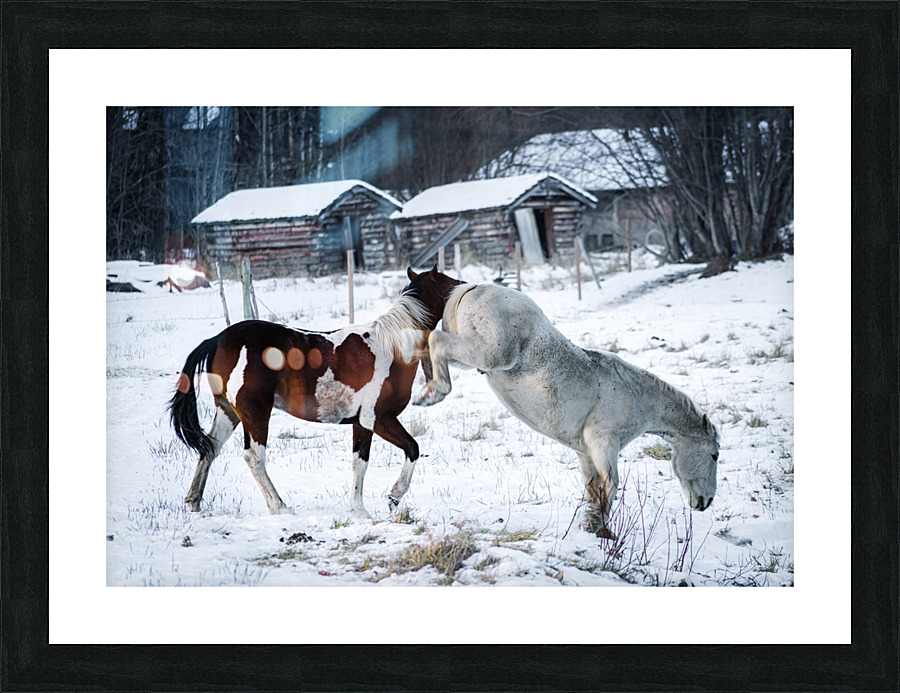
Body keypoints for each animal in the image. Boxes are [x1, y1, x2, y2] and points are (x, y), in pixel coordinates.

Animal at [169, 266, 462, 516]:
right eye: (449, 282)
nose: (465, 286)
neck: (391, 348)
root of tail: (217, 340)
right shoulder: (375, 420)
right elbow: (384, 457)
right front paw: (374, 505)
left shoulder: (364, 422)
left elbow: (385, 455)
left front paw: (385, 501)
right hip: (255, 413)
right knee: (254, 457)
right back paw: (279, 507)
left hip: (228, 412)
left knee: (209, 448)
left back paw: (194, 502)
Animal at [413, 283, 720, 539]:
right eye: (715, 455)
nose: (706, 502)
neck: (635, 395)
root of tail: (477, 287)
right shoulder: (603, 443)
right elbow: (611, 485)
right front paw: (596, 525)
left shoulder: (585, 452)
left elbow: (594, 489)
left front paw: (599, 529)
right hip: (490, 354)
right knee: (437, 340)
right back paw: (433, 393)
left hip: (471, 358)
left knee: (430, 342)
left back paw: (426, 387)